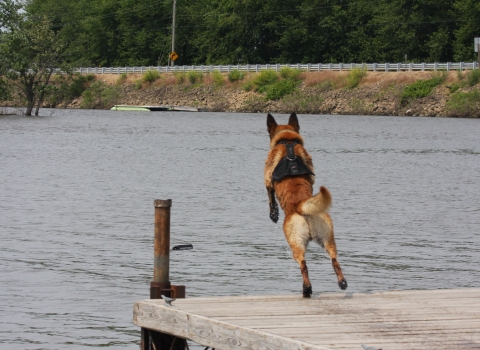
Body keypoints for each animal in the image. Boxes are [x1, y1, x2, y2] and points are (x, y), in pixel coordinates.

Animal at [264, 113, 346, 298]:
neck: (287, 142)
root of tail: (302, 207)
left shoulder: (267, 180)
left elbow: (270, 198)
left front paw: (273, 215)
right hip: (327, 238)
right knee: (334, 260)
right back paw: (342, 282)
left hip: (295, 242)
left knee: (303, 265)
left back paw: (306, 289)